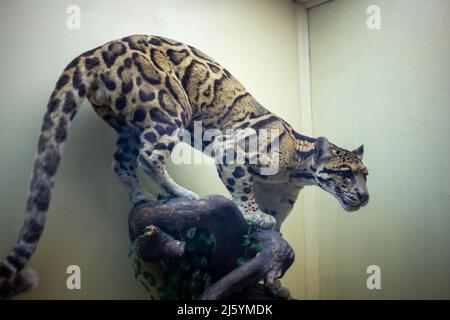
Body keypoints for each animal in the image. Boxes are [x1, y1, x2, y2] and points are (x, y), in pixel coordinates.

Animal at [0, 35, 368, 298]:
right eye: (346, 173)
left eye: (366, 174)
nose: (364, 197)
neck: (295, 169)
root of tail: (97, 50)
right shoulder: (229, 151)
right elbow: (243, 191)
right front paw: (254, 216)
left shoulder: (281, 196)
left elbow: (275, 215)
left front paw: (270, 231)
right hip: (167, 110)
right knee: (149, 156)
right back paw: (182, 193)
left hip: (127, 125)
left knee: (121, 162)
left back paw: (142, 198)